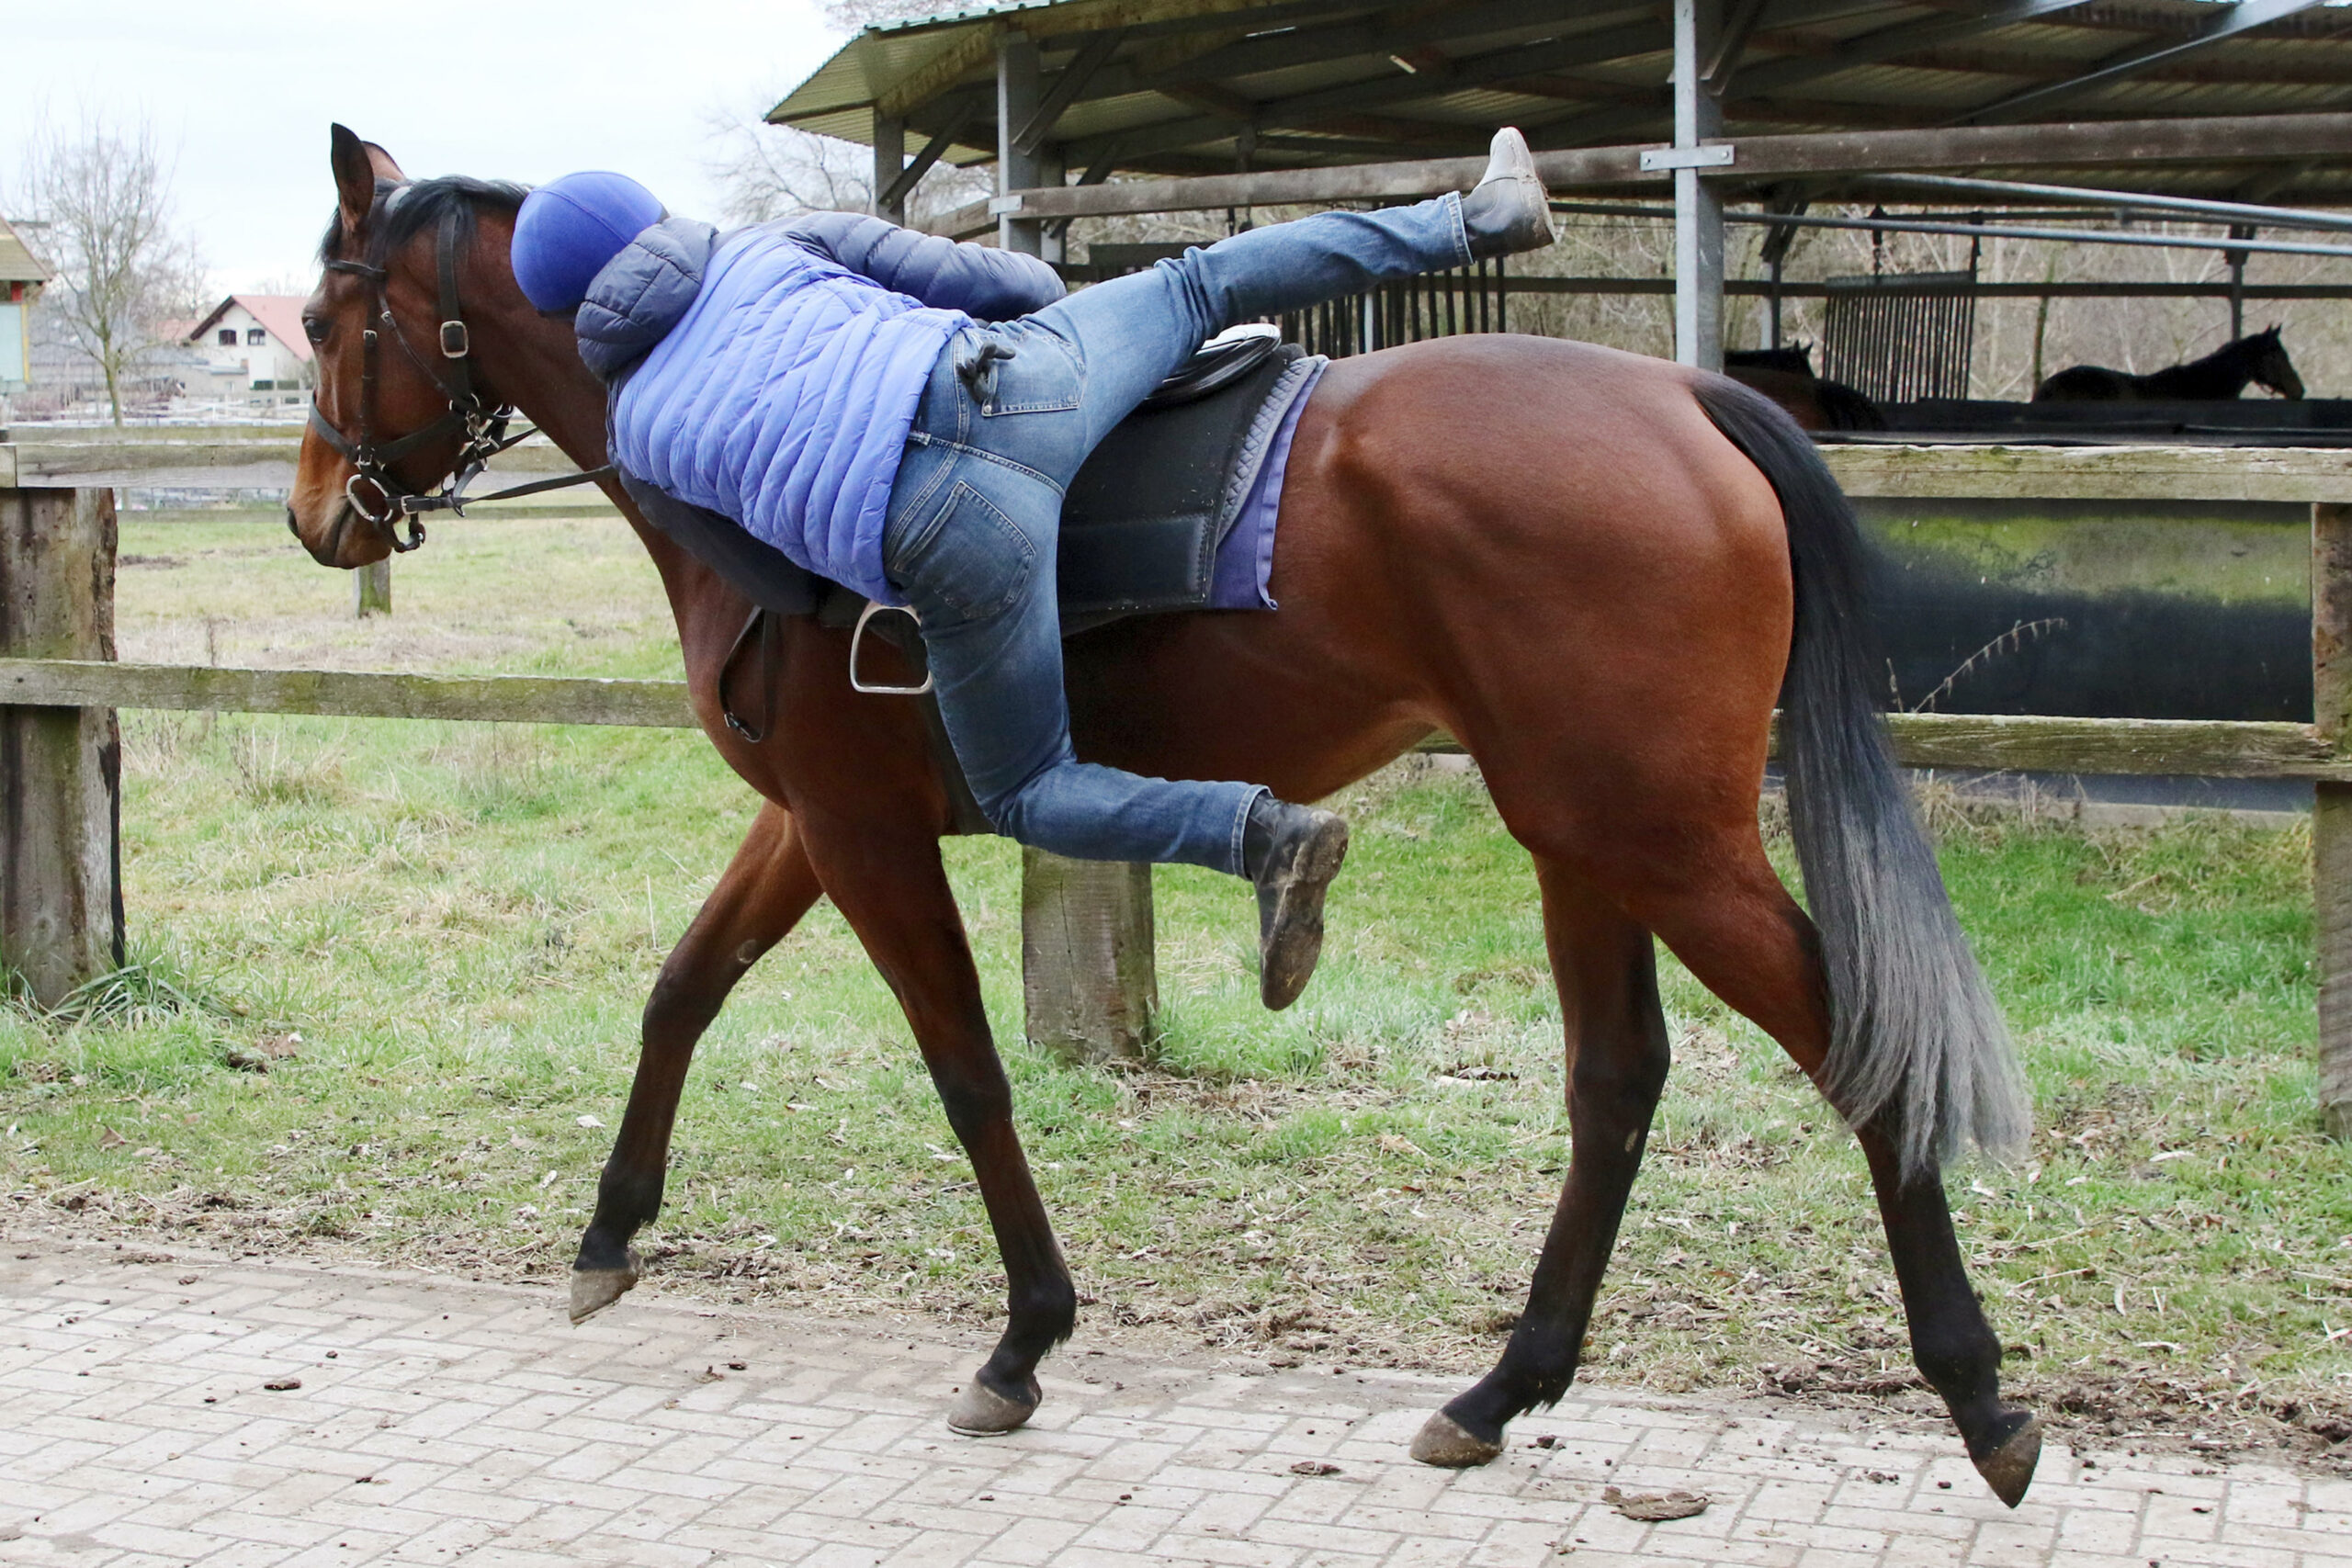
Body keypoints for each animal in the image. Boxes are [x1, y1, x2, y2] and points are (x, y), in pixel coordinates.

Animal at [275, 131, 2041, 1504]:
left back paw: (1980, 1396)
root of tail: (1681, 399)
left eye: (318, 315)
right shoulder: (813, 828)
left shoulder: (861, 835)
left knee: (1860, 1054)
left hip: (1657, 839)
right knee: (1616, 1085)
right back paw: (1499, 1387)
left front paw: (1024, 1335)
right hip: (1585, 837)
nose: (313, 514)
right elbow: (681, 991)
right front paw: (608, 1233)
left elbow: (967, 1073)